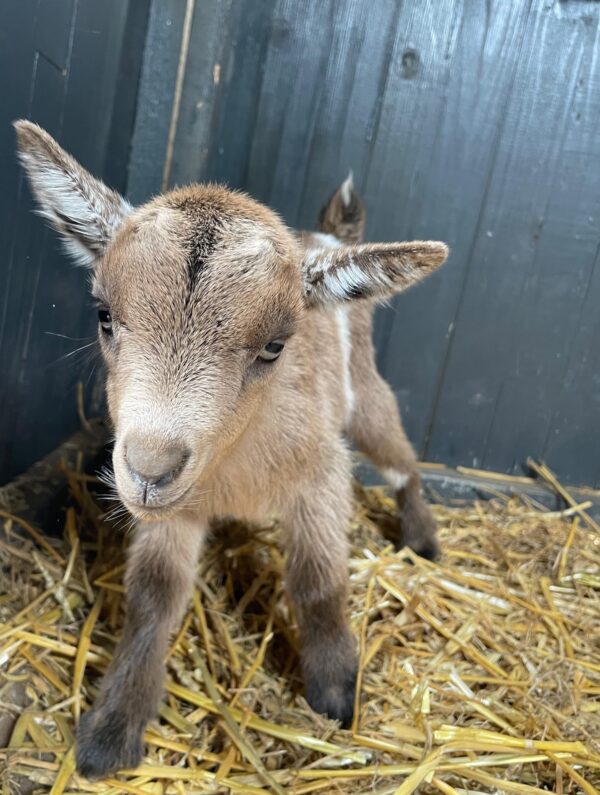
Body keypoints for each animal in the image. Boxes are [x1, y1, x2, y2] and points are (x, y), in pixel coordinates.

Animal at [15, 120, 449, 779]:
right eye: (104, 315)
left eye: (274, 346)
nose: (149, 470)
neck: (235, 468)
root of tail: (326, 237)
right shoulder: (174, 511)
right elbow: (153, 598)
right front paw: (111, 731)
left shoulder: (320, 472)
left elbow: (318, 580)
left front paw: (334, 693)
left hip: (365, 394)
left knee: (401, 461)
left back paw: (422, 538)